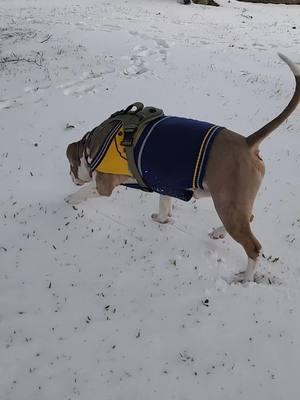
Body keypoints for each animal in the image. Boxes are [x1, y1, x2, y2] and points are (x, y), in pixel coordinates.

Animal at [66, 53, 300, 282]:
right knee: (249, 218)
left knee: (254, 248)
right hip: (234, 205)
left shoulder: (104, 184)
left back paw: (245, 279)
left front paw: (70, 199)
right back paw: (219, 233)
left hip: (227, 204)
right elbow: (164, 204)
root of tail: (246, 142)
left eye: (70, 165)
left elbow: (87, 190)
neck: (92, 144)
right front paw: (162, 219)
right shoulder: (163, 182)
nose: (71, 176)